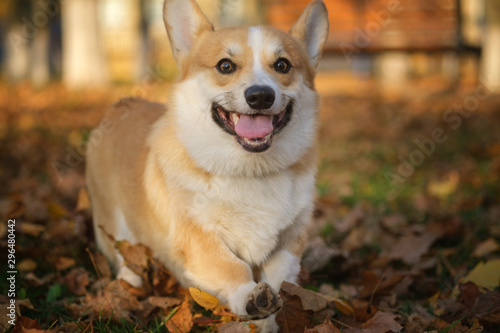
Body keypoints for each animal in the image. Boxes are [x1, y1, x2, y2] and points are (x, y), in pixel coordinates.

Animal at [86, 0, 328, 330]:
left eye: (282, 65)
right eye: (225, 66)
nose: (260, 96)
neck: (250, 171)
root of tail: (120, 104)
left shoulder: (292, 237)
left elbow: (279, 274)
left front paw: (269, 318)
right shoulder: (196, 236)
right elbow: (230, 266)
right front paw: (249, 297)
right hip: (113, 219)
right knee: (125, 254)